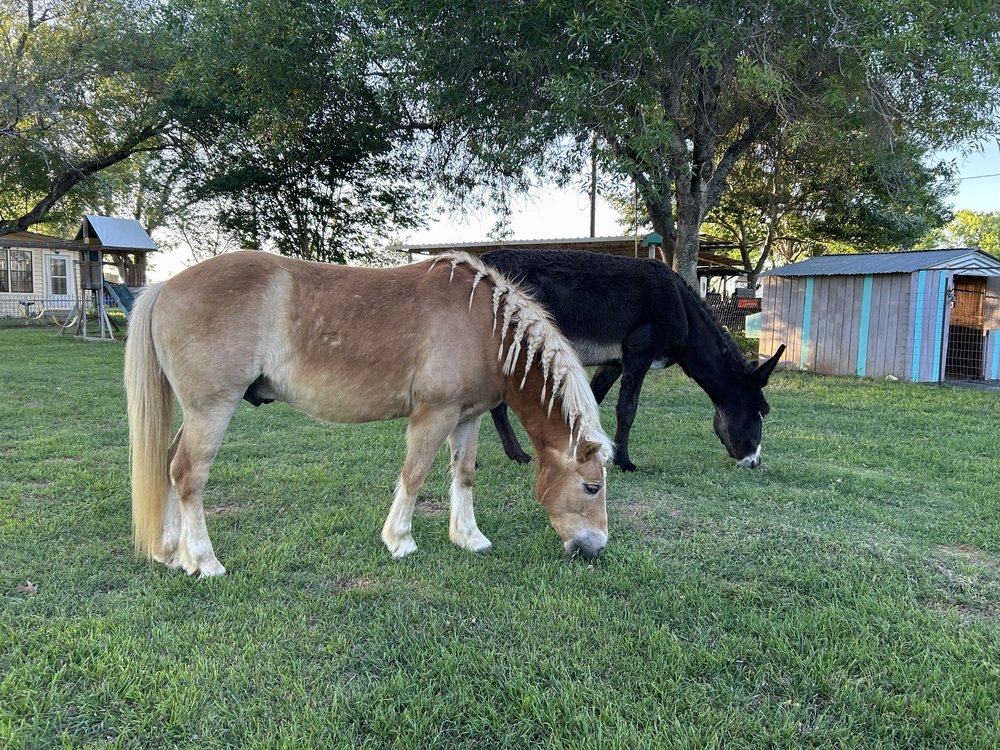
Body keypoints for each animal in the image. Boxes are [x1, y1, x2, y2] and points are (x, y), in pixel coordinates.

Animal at [124, 251, 614, 577]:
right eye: (591, 487)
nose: (596, 549)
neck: (485, 327)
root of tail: (165, 286)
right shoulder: (433, 415)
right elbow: (414, 474)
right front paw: (400, 540)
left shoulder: (467, 416)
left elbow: (465, 474)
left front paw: (469, 538)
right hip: (211, 409)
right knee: (188, 474)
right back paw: (204, 561)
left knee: (167, 464)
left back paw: (170, 552)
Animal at [481, 249, 785, 472]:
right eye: (762, 410)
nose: (754, 463)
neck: (682, 311)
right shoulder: (639, 355)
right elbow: (626, 410)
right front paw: (624, 462)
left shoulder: (615, 363)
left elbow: (591, 401)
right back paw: (517, 454)